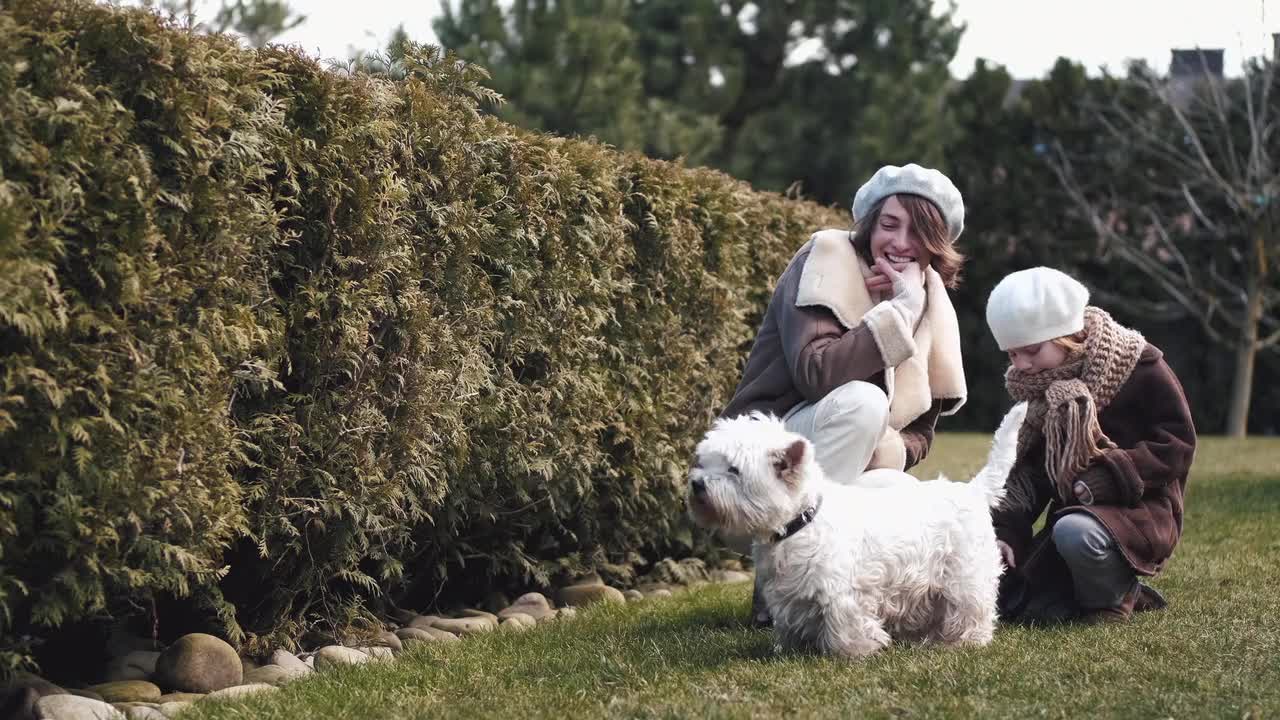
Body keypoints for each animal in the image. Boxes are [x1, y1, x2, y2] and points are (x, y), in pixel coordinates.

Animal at [686, 404, 1024, 655]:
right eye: (704, 461)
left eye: (733, 469)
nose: (696, 484)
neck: (801, 522)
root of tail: (973, 491)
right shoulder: (788, 594)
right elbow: (791, 624)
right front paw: (791, 648)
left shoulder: (842, 592)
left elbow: (845, 625)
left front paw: (854, 651)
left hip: (963, 574)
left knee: (971, 609)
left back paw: (964, 641)